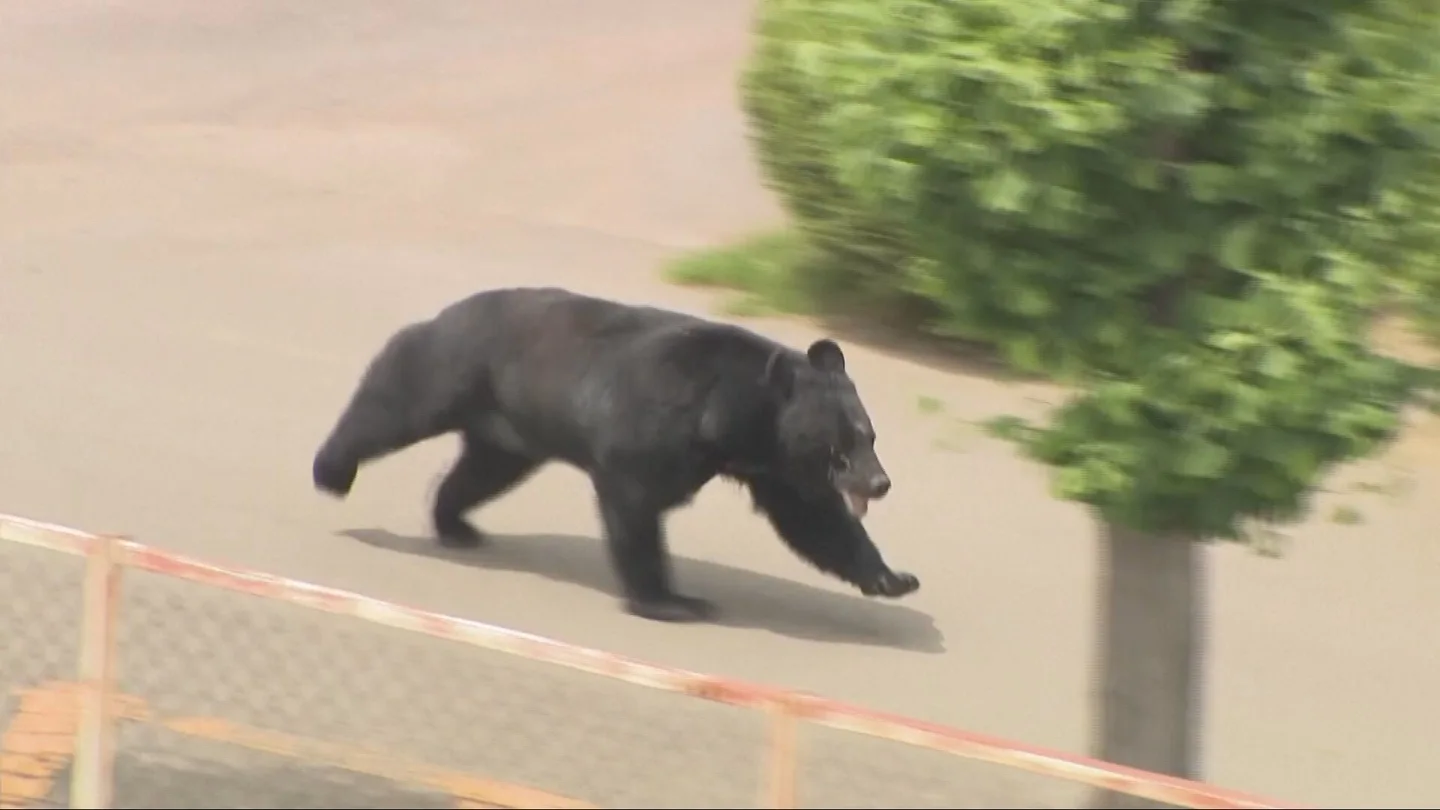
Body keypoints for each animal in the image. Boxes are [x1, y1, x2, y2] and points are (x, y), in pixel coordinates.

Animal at [312, 286, 920, 623]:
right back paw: (332, 471)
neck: (732, 419)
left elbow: (814, 520)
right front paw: (674, 600)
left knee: (478, 472)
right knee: (396, 402)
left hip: (510, 429)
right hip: (457, 367)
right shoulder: (657, 431)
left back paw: (456, 523)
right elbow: (635, 507)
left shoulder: (773, 466)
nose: (881, 483)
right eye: (840, 448)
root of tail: (453, 307)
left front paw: (894, 577)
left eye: (868, 436)